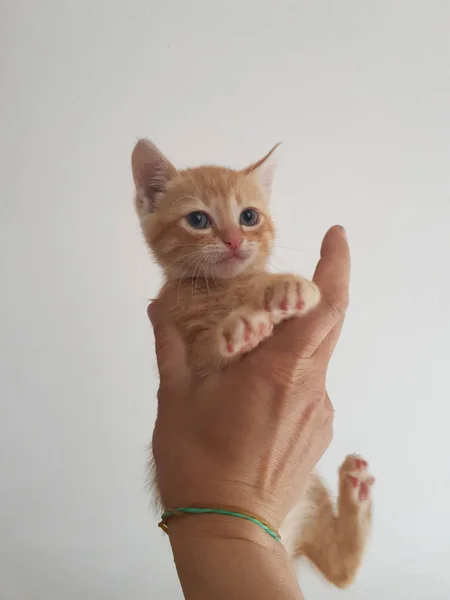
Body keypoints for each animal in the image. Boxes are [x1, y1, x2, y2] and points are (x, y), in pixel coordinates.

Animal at [132, 139, 374, 584]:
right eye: (198, 219)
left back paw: (358, 491)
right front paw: (243, 323)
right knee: (342, 570)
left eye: (248, 217)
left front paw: (280, 288)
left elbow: (259, 284)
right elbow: (213, 343)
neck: (221, 287)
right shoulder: (195, 352)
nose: (232, 241)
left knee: (342, 569)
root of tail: (288, 544)